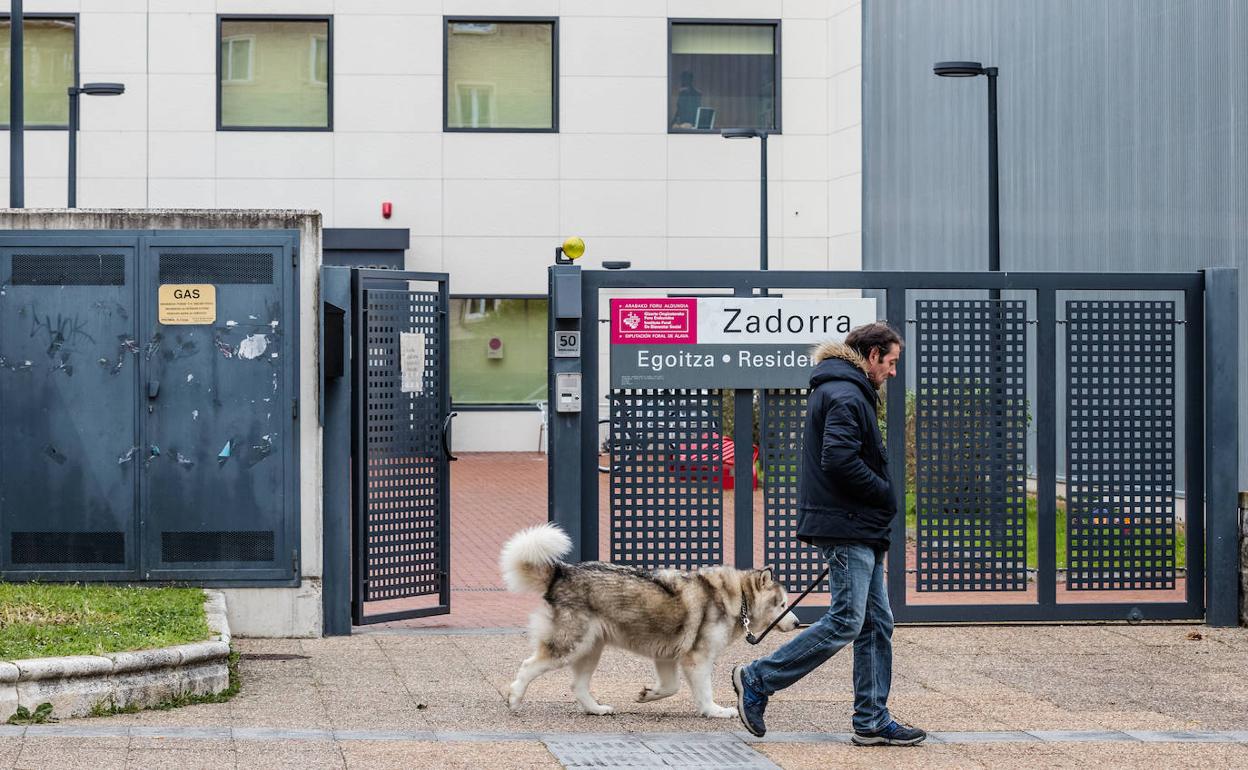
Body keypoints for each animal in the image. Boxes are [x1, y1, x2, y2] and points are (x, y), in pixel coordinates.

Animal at [499, 519, 798, 718]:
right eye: (783, 604)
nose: (797, 623)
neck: (738, 598)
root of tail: (562, 572)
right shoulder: (697, 659)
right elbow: (704, 692)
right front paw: (715, 711)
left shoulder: (666, 656)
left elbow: (671, 687)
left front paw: (648, 695)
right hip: (570, 646)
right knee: (528, 666)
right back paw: (514, 699)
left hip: (590, 649)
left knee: (577, 685)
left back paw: (597, 709)